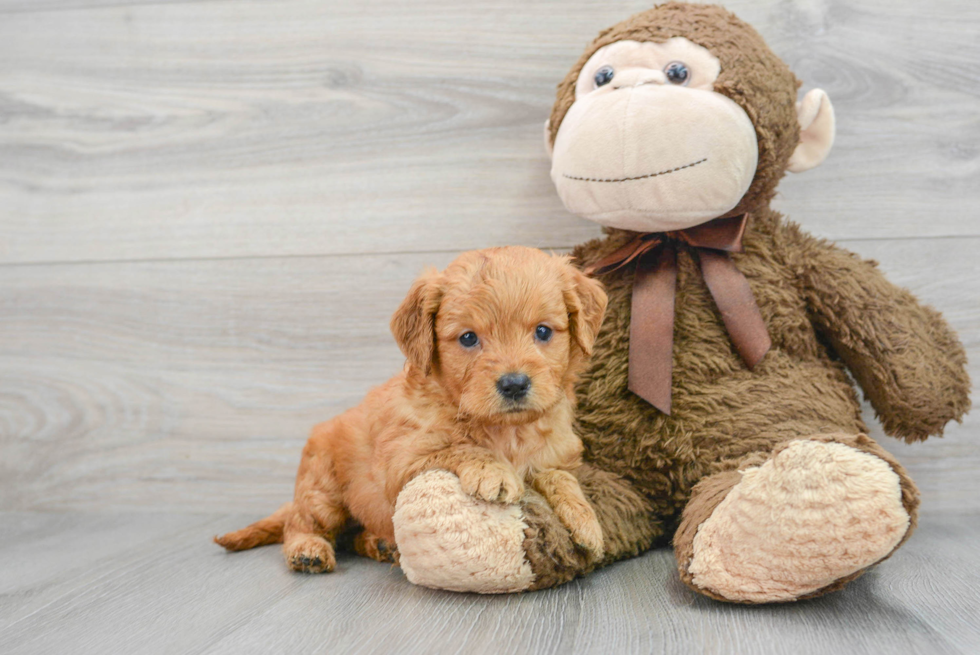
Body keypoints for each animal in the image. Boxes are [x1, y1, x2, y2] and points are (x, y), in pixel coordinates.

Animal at [216, 246, 604, 576]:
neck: (506, 430)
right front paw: (491, 470)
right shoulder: (401, 462)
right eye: (468, 338)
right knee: (301, 523)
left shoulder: (556, 455)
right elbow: (459, 447)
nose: (514, 384)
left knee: (352, 536)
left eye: (543, 331)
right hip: (321, 489)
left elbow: (559, 475)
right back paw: (307, 550)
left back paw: (380, 544)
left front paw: (586, 521)